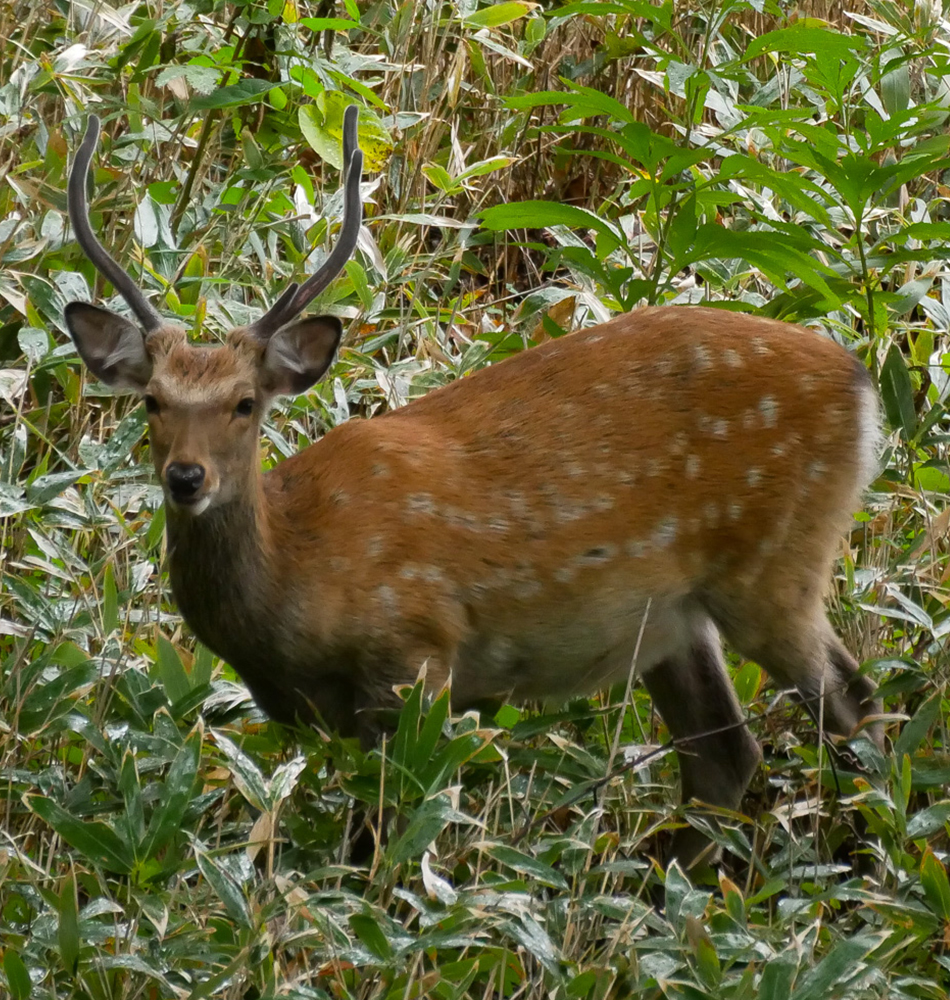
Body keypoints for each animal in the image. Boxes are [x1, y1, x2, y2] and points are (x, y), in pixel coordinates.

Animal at [65, 105, 884, 864]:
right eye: (153, 401)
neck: (296, 586)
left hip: (775, 563)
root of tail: (862, 382)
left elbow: (386, 833)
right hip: (675, 617)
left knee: (854, 702)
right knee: (723, 755)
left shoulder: (417, 648)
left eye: (244, 403)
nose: (186, 477)